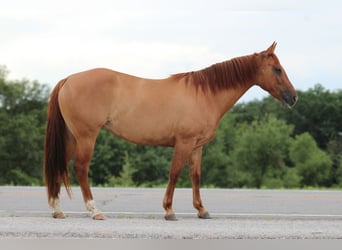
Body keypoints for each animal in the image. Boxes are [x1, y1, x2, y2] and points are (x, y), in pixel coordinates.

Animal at [44, 43, 296, 221]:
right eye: (277, 69)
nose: (293, 97)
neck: (204, 94)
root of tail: (68, 79)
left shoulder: (197, 146)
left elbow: (195, 176)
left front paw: (201, 210)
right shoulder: (184, 143)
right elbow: (174, 173)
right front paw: (169, 210)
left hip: (71, 138)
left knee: (60, 165)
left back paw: (58, 210)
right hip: (86, 137)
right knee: (81, 168)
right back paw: (94, 210)